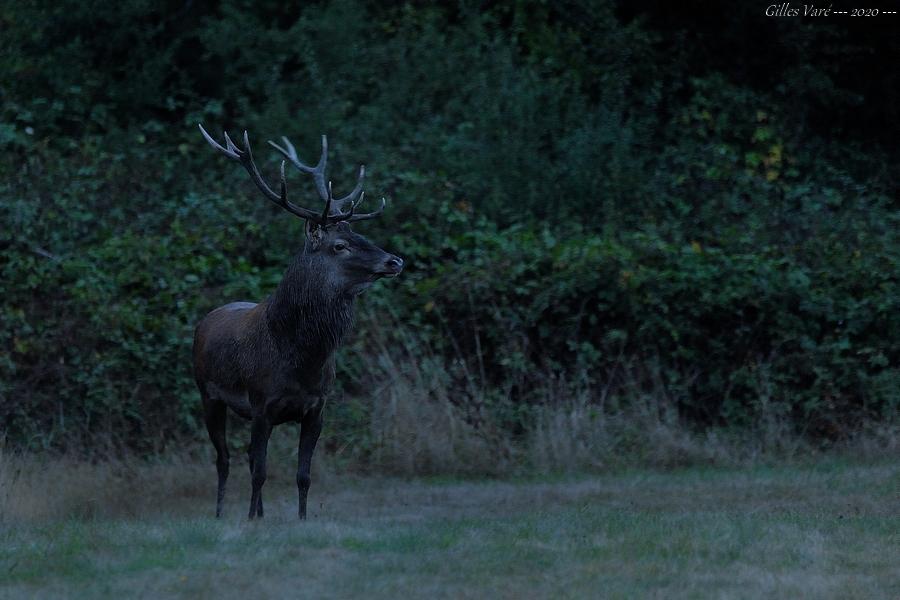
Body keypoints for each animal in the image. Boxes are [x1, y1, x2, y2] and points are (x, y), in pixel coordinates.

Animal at [194, 124, 404, 516]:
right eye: (340, 245)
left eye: (360, 234)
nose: (395, 261)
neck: (301, 361)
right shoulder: (261, 404)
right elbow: (260, 472)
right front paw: (250, 519)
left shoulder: (316, 408)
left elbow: (302, 475)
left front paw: (298, 519)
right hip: (207, 394)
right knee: (225, 459)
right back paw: (220, 514)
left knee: (246, 457)